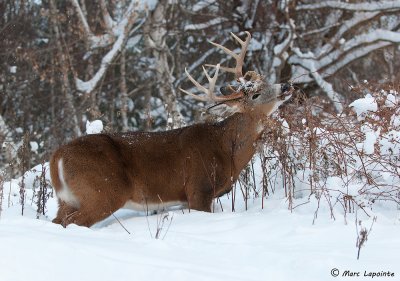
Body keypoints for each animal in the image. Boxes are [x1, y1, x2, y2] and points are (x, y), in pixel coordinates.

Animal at [50, 31, 294, 226]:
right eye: (255, 94)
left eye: (266, 81)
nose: (286, 85)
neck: (226, 149)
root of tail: (57, 157)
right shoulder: (199, 188)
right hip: (103, 191)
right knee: (74, 222)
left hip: (68, 199)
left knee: (58, 220)